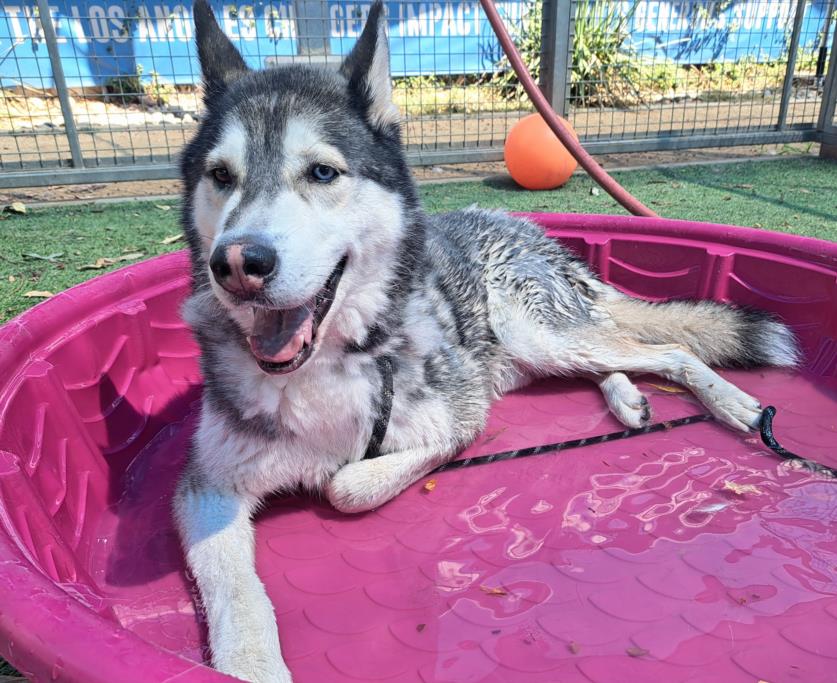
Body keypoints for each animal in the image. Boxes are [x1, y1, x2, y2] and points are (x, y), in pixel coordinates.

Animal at [173, 2, 800, 680]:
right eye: (220, 176)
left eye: (321, 172)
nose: (237, 264)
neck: (325, 369)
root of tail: (530, 230)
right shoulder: (205, 488)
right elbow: (236, 593)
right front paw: (250, 662)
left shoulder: (460, 420)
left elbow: (346, 486)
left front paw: (343, 475)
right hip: (544, 352)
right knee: (612, 355)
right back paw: (626, 397)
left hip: (539, 335)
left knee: (668, 351)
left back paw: (728, 403)